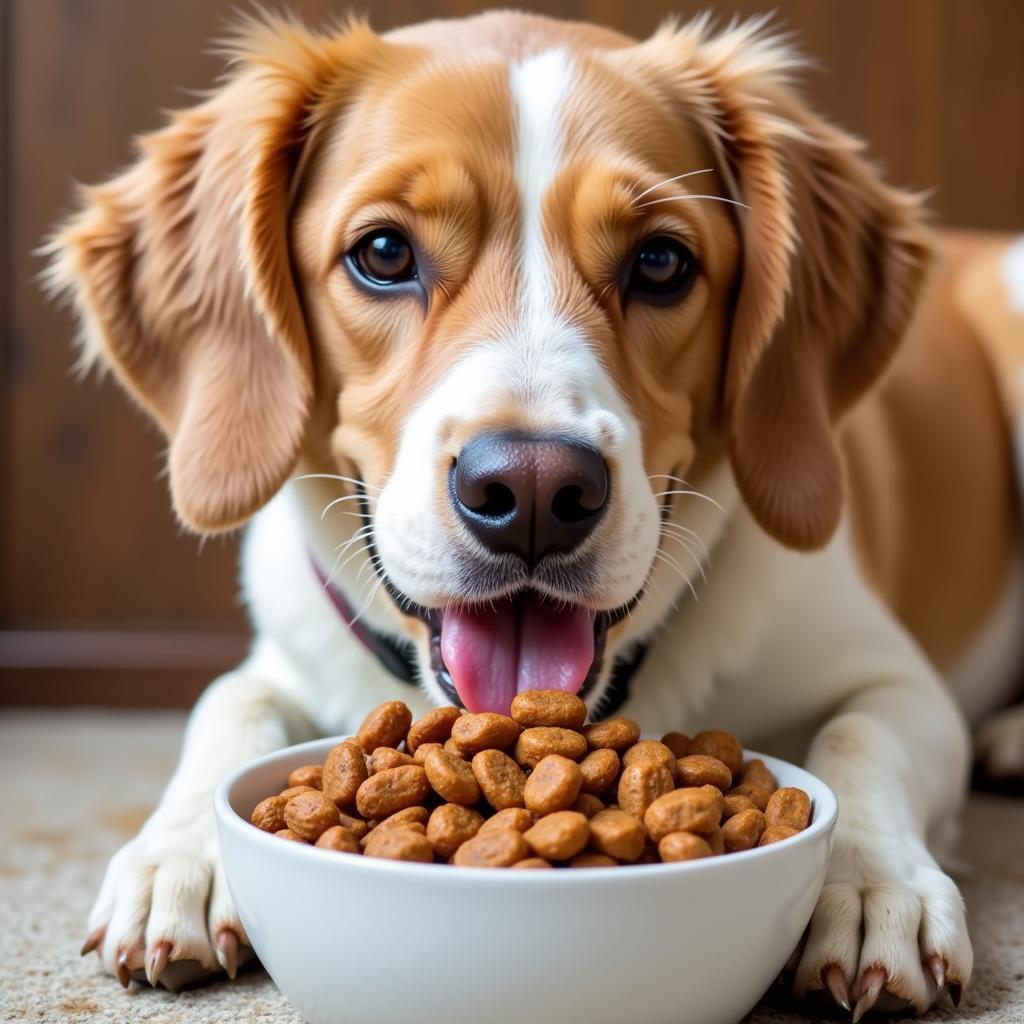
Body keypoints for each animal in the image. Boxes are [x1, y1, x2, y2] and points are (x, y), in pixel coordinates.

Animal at [46, 6, 1024, 1015]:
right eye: (384, 253)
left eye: (661, 262)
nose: (533, 495)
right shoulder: (288, 652)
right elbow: (224, 703)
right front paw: (179, 856)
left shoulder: (900, 682)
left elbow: (859, 734)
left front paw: (869, 881)